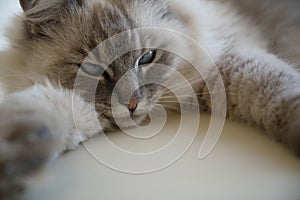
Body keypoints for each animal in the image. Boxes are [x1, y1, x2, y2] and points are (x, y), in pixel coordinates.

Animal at [0, 0, 300, 198]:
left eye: (146, 58)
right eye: (93, 69)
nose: (132, 104)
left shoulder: (228, 65)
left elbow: (280, 89)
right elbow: (45, 111)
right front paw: (19, 155)